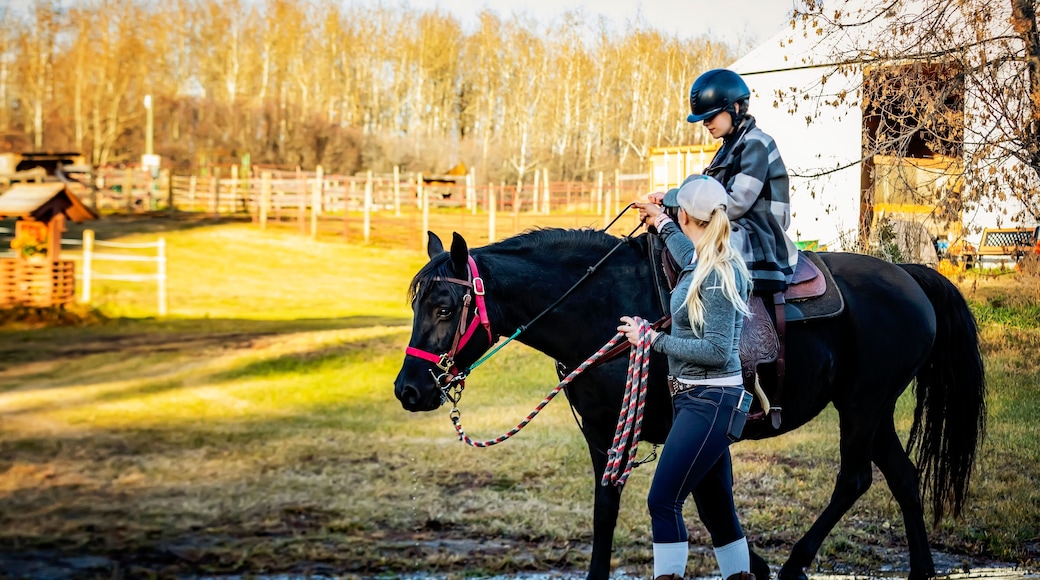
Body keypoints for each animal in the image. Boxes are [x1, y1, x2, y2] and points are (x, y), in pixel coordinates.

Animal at [394, 228, 986, 580]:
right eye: (418, 303)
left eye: (445, 307)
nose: (408, 390)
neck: (604, 307)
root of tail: (910, 275)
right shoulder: (606, 435)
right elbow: (621, 509)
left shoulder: (670, 429)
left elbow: (683, 506)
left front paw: (760, 565)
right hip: (872, 408)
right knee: (903, 477)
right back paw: (919, 570)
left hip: (863, 405)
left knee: (855, 478)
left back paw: (796, 563)